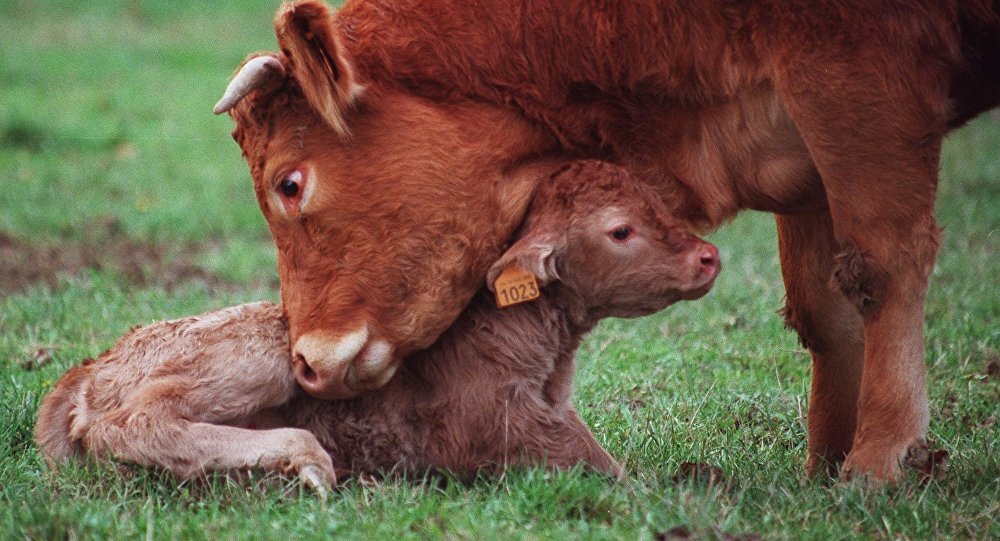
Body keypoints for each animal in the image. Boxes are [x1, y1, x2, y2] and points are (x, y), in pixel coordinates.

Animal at [33, 158, 720, 492]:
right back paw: (303, 459)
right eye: (620, 231)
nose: (709, 257)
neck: (544, 357)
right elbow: (600, 466)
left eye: (658, 204)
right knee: (131, 423)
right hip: (266, 351)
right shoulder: (492, 426)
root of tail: (92, 366)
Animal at [215, 0, 1000, 480]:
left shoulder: (857, 84)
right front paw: (824, 466)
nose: (306, 362)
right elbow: (825, 312)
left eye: (290, 183)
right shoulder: (803, 158)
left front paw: (879, 459)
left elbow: (880, 268)